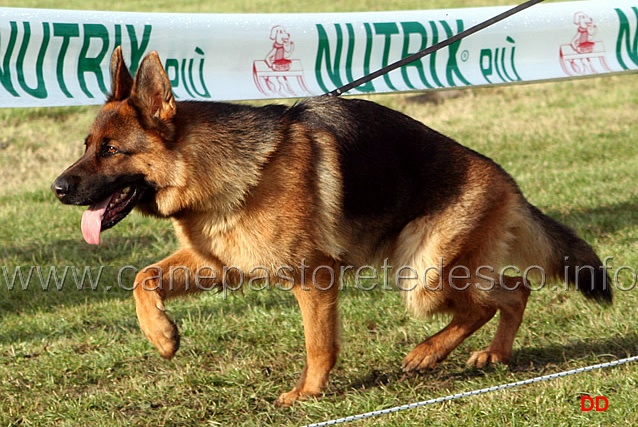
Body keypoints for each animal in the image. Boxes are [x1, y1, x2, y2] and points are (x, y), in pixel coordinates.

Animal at [52, 47, 612, 408]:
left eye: (111, 151)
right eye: (86, 145)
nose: (57, 188)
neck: (208, 169)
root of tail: (507, 181)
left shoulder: (314, 277)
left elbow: (318, 344)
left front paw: (308, 393)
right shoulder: (221, 264)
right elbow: (141, 277)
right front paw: (163, 336)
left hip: (421, 273)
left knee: (489, 301)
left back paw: (427, 354)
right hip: (432, 270)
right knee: (514, 291)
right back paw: (493, 355)